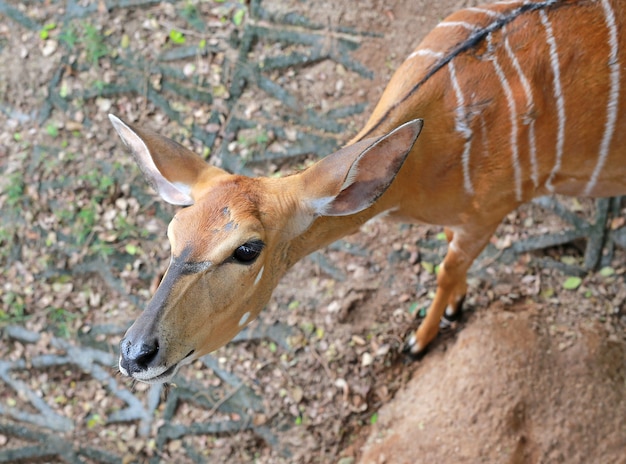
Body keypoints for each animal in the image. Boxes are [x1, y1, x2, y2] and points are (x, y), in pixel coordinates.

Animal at [109, 0, 624, 384]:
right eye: (172, 232)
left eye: (247, 249)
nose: (135, 353)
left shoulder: (490, 211)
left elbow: (447, 269)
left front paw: (421, 339)